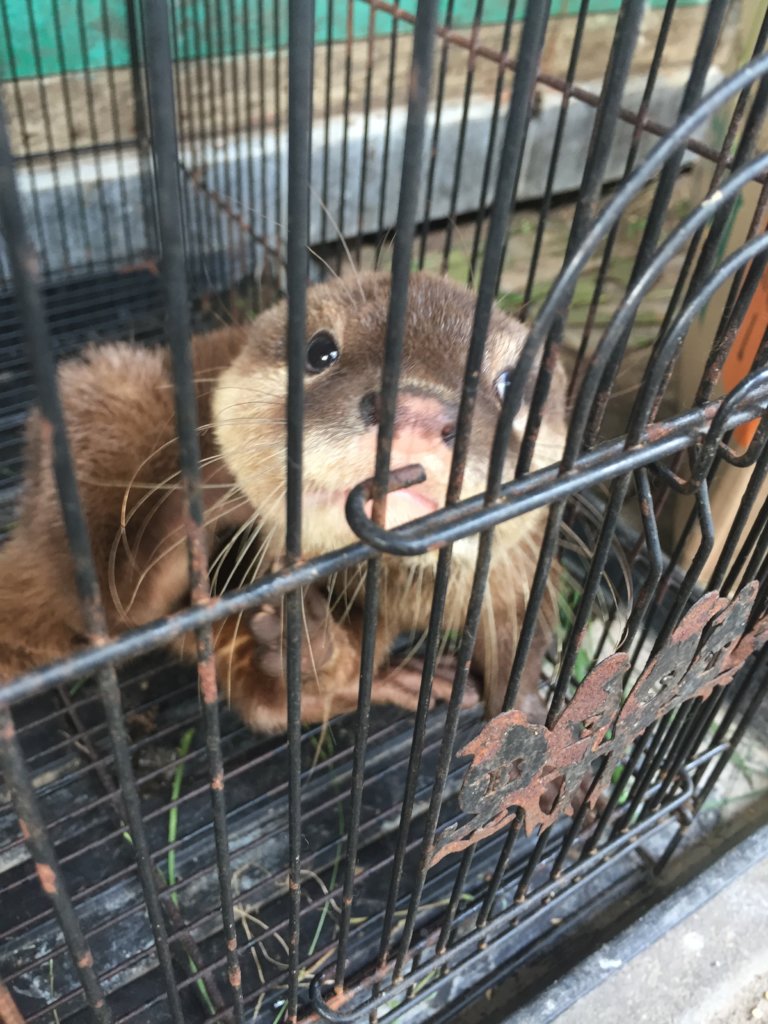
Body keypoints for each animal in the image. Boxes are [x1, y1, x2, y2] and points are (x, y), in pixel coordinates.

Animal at [0, 272, 567, 730]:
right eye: (319, 351)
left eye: (511, 382)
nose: (419, 413)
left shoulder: (522, 560)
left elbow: (527, 627)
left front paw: (526, 707)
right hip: (102, 402)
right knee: (119, 602)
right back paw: (198, 506)